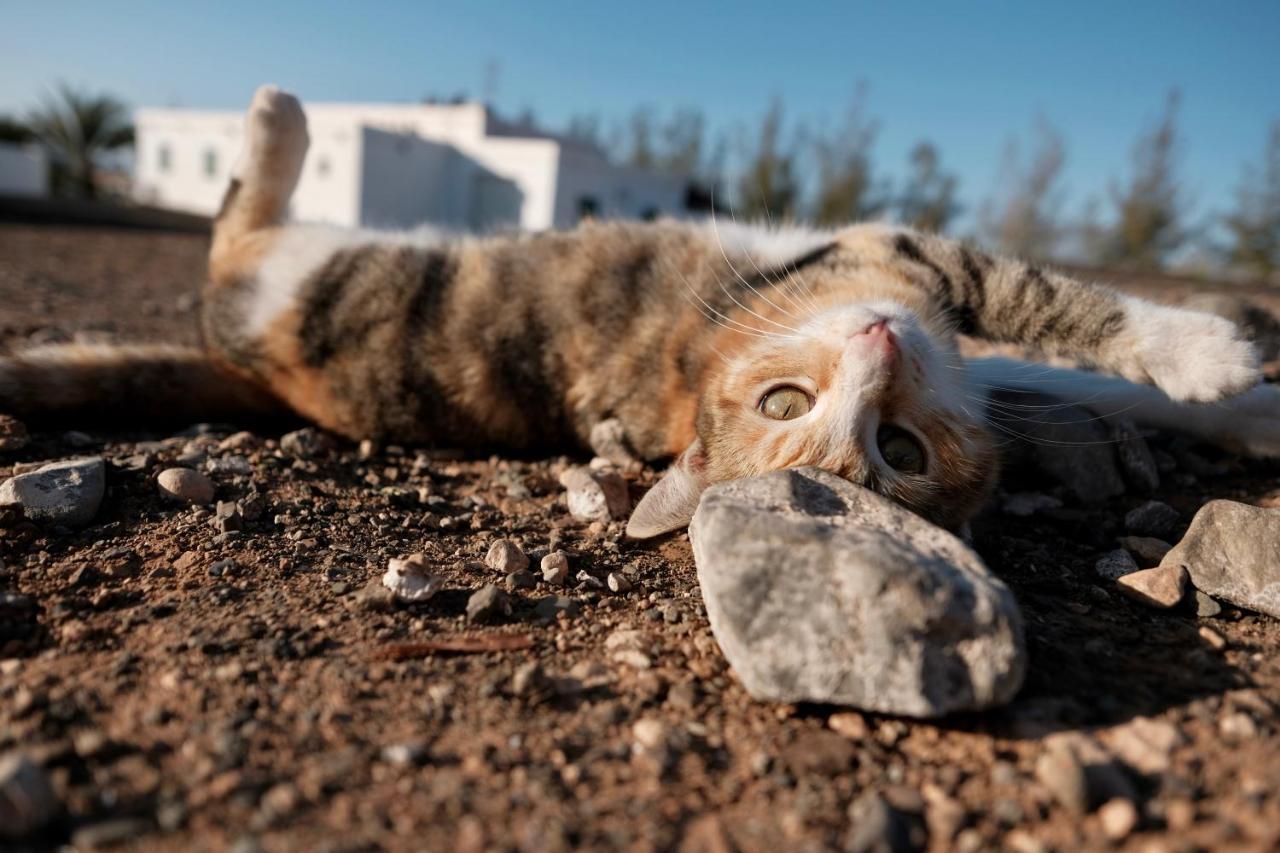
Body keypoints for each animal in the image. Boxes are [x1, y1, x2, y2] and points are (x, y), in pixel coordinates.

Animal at [2, 87, 1280, 537]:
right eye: (785, 403)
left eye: (898, 449)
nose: (874, 345)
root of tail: (253, 376)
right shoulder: (887, 259)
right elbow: (1051, 302)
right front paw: (1204, 350)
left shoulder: (944, 343)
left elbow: (1058, 374)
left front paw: (1244, 410)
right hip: (293, 274)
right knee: (229, 238)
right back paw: (275, 119)